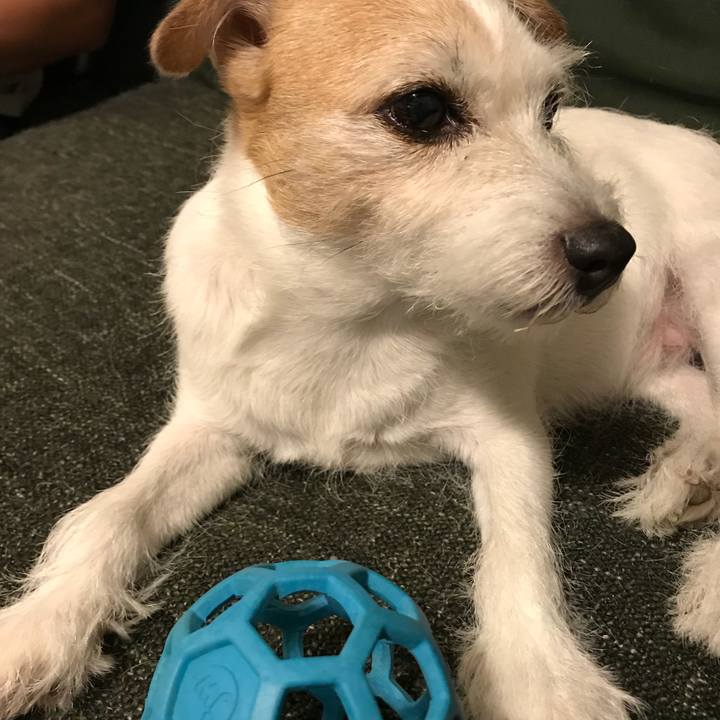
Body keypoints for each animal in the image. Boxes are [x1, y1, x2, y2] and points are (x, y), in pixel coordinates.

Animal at [1, 0, 719, 718]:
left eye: (550, 111)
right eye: (422, 109)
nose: (615, 251)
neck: (353, 315)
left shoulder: (511, 439)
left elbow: (517, 554)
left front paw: (542, 680)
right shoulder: (213, 429)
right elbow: (111, 514)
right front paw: (40, 628)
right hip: (652, 362)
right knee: (703, 404)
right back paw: (683, 477)